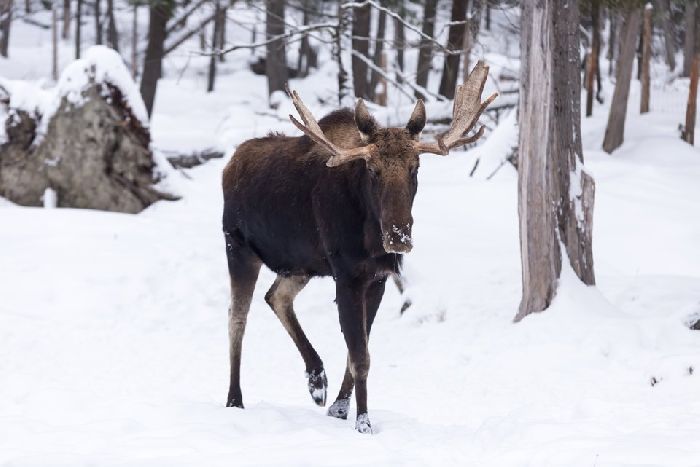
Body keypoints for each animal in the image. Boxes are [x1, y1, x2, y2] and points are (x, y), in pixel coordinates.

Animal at [221, 62, 494, 436]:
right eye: (373, 170)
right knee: (237, 319)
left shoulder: (376, 278)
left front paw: (339, 407)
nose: (398, 237)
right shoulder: (347, 275)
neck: (369, 237)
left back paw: (316, 380)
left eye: (415, 168)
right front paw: (363, 421)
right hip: (238, 247)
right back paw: (235, 399)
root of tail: (229, 164)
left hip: (300, 265)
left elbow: (357, 350)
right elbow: (361, 356)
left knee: (276, 296)